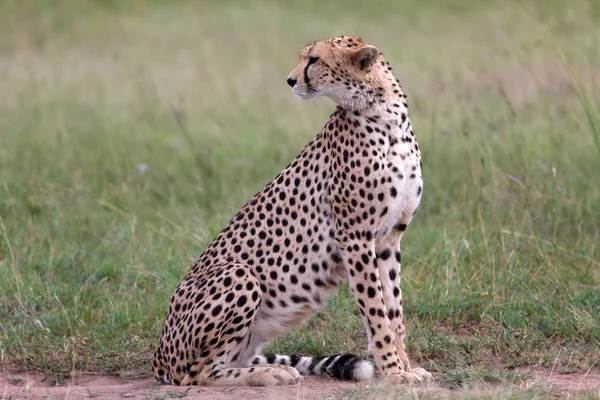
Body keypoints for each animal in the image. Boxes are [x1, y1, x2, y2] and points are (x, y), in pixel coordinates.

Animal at [150, 36, 432, 386]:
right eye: (303, 58)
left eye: (314, 59)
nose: (290, 80)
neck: (385, 114)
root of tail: (159, 355)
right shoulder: (354, 237)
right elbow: (376, 310)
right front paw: (393, 372)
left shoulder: (389, 239)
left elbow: (394, 310)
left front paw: (405, 366)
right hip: (239, 274)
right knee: (198, 375)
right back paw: (271, 372)